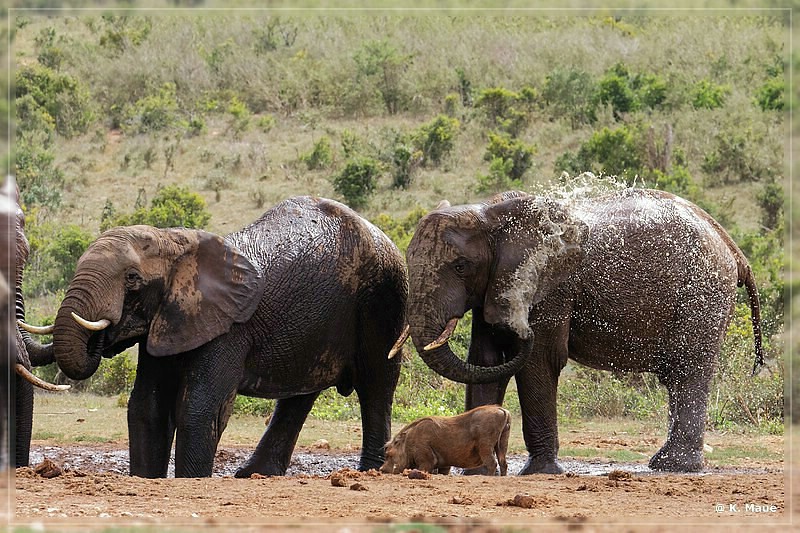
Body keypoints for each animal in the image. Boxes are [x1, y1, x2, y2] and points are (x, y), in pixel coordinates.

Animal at [40, 195, 406, 478]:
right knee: (301, 394)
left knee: (377, 385)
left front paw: (191, 480)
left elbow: (198, 409)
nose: (102, 335)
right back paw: (254, 475)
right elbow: (147, 406)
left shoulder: (229, 329)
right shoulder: (167, 322)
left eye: (132, 278)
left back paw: (371, 471)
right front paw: (146, 478)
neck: (175, 243)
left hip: (384, 299)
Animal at [398, 189, 764, 472]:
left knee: (688, 370)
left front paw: (541, 472)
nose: (520, 330)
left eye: (460, 266)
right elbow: (486, 361)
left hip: (702, 295)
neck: (488, 212)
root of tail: (733, 248)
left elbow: (540, 360)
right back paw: (664, 464)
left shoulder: (550, 286)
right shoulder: (495, 284)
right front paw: (474, 473)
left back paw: (674, 467)